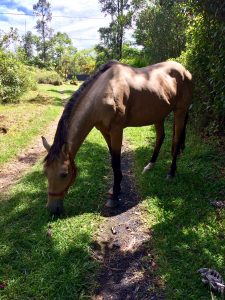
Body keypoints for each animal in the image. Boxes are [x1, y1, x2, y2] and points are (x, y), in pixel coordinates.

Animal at [42, 60, 193, 213]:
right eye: (46, 173)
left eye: (64, 174)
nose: (52, 209)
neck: (103, 93)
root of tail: (184, 70)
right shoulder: (104, 130)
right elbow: (113, 160)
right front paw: (116, 188)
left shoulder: (117, 130)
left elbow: (115, 161)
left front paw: (114, 197)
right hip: (158, 115)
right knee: (160, 137)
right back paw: (149, 166)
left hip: (180, 111)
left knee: (176, 140)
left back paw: (171, 173)